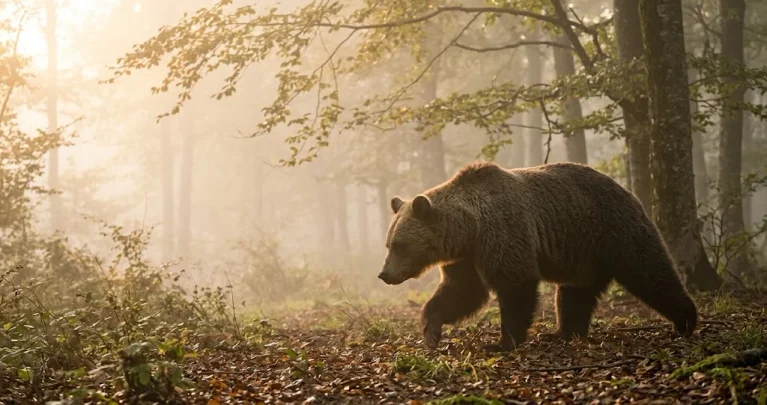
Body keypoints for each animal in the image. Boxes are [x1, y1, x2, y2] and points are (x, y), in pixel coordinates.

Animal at [377, 161, 698, 352]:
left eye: (400, 245)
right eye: (388, 244)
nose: (384, 274)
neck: (469, 229)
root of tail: (625, 189)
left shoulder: (503, 232)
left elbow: (515, 286)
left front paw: (503, 342)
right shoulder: (466, 257)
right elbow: (462, 292)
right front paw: (431, 330)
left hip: (615, 230)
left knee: (649, 270)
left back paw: (685, 321)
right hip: (582, 253)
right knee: (574, 294)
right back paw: (562, 333)